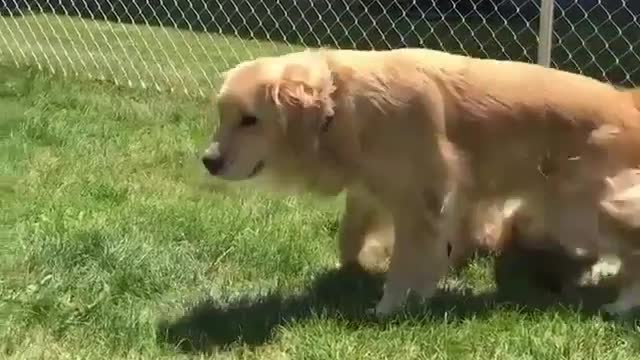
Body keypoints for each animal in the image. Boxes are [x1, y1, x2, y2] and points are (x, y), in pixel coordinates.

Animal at [201, 47, 640, 316]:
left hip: (574, 210)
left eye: (250, 119)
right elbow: (352, 237)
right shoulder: (381, 191)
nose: (208, 161)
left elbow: (407, 261)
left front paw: (389, 307)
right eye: (223, 115)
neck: (339, 103)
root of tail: (629, 102)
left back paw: (620, 306)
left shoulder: (423, 198)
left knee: (631, 251)